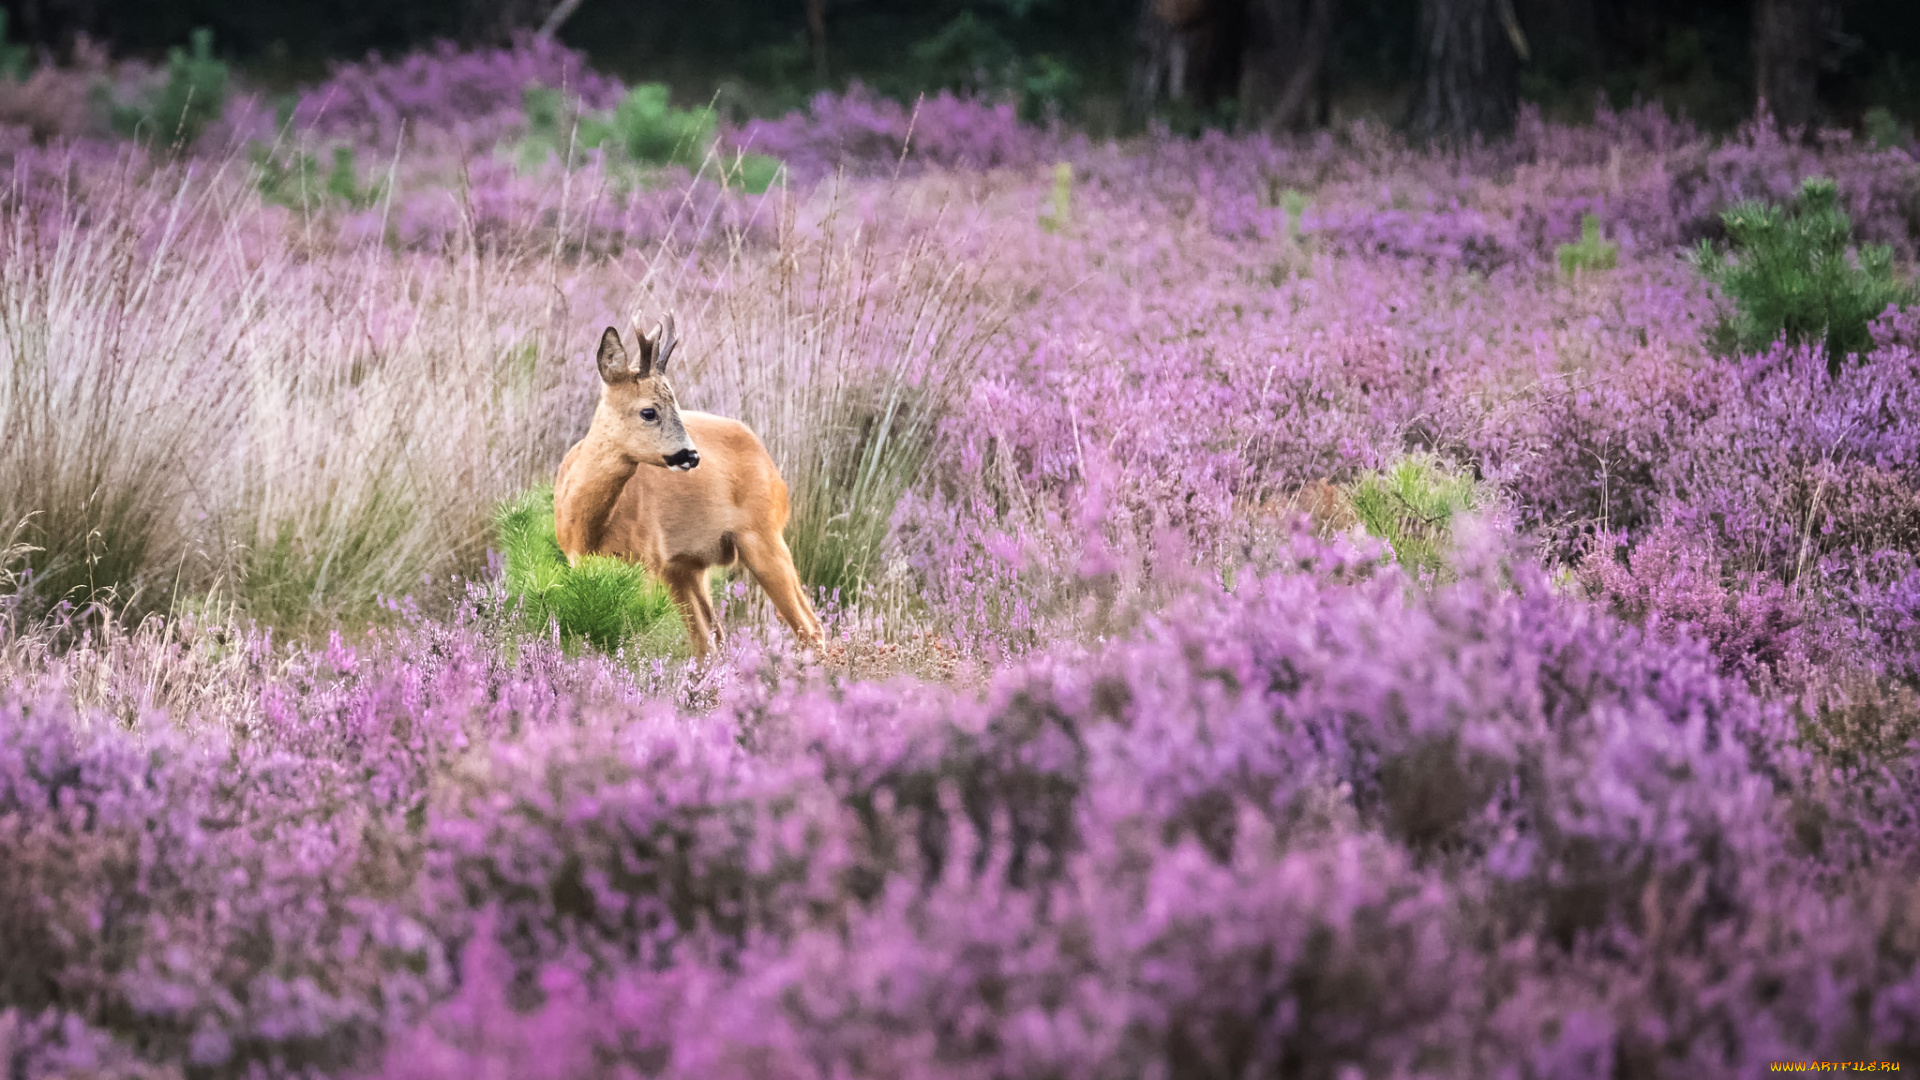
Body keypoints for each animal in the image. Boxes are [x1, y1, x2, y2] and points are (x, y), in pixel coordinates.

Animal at [556, 311, 825, 657]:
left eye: (677, 405)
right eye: (648, 411)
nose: (691, 455)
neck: (587, 525)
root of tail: (773, 469)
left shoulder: (646, 559)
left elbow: (635, 636)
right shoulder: (580, 562)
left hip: (763, 532)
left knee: (809, 626)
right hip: (686, 567)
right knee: (710, 638)